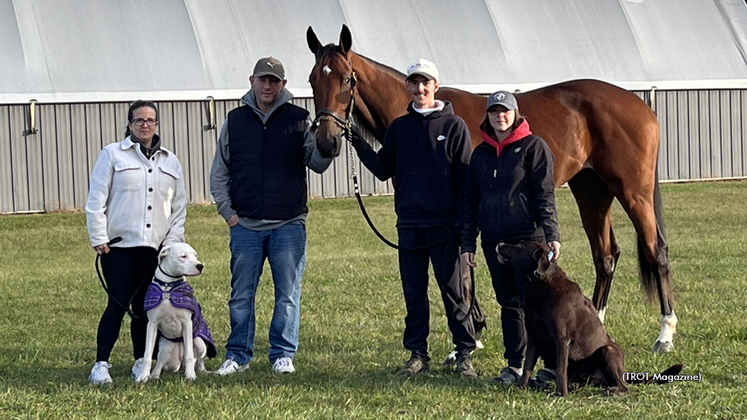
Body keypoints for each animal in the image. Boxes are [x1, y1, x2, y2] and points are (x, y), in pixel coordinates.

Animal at [132, 241, 216, 382]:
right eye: (183, 256)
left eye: (195, 255)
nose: (200, 266)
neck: (168, 288)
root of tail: (180, 365)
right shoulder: (152, 324)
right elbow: (147, 355)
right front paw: (143, 377)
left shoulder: (187, 323)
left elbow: (189, 356)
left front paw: (190, 376)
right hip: (166, 348)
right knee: (160, 363)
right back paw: (154, 375)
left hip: (199, 343)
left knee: (198, 361)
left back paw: (200, 371)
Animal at [306, 23, 680, 352]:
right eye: (312, 80)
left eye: (346, 79)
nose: (325, 142)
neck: (425, 116)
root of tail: (640, 105)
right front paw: (475, 329)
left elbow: (459, 272)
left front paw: (468, 340)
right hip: (591, 190)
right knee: (605, 255)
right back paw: (596, 322)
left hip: (633, 191)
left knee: (656, 250)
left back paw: (664, 335)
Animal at [500, 241, 680, 396]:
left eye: (520, 245)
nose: (499, 244)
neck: (542, 285)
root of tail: (624, 373)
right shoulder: (534, 337)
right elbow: (528, 365)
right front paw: (520, 387)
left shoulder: (561, 338)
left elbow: (560, 369)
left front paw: (560, 394)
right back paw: (575, 385)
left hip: (608, 351)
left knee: (623, 386)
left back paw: (612, 390)